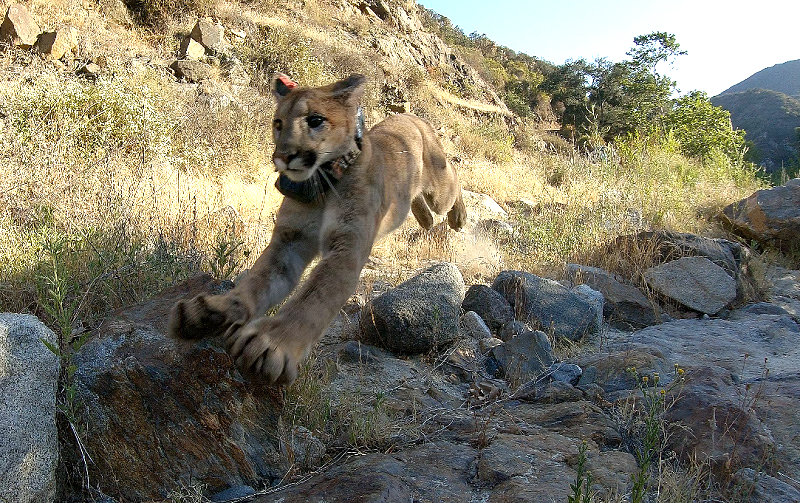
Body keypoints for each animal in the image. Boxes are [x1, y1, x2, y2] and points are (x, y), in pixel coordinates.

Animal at [168, 73, 466, 384]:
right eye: (278, 123)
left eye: (315, 120)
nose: (284, 156)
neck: (321, 184)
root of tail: (411, 115)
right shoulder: (289, 241)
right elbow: (258, 279)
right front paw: (210, 312)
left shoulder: (345, 249)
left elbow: (313, 298)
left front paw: (271, 344)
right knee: (420, 204)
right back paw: (426, 219)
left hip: (439, 188)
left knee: (454, 181)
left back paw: (458, 218)